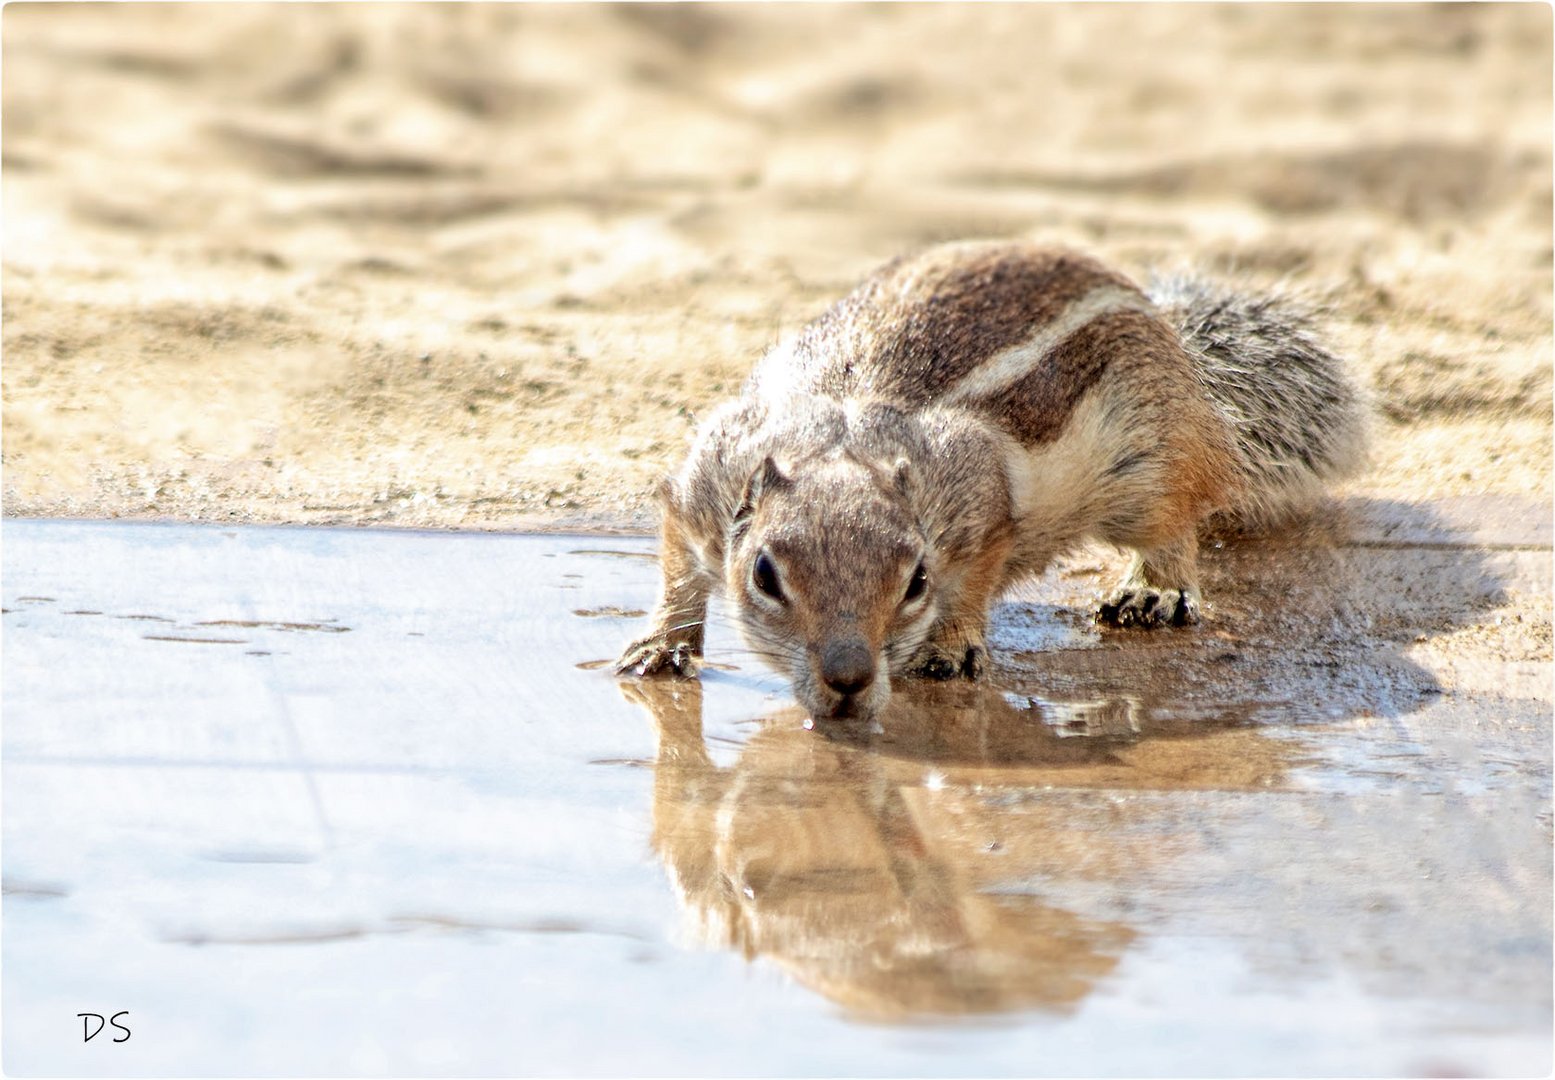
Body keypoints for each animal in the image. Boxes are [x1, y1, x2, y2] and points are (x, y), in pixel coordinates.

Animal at [612, 240, 1368, 721]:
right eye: (764, 577)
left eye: (916, 581)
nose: (849, 680)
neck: (842, 448)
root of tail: (1169, 329)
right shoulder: (704, 486)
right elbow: (677, 570)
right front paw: (660, 646)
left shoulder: (981, 507)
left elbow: (974, 578)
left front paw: (949, 649)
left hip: (1152, 462)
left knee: (1175, 527)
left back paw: (1151, 591)